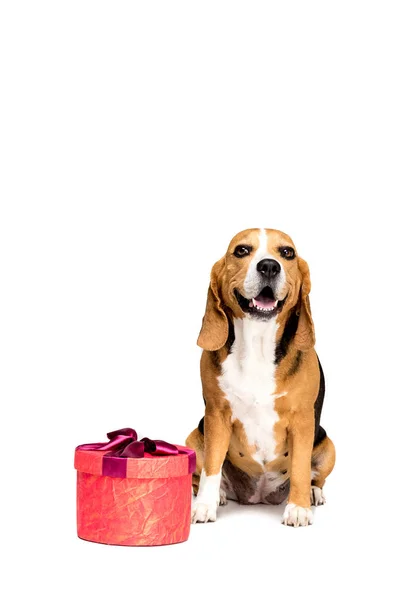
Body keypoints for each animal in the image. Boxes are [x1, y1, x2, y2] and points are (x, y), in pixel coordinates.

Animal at [187, 227, 334, 528]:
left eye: (287, 252)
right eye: (242, 250)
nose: (268, 266)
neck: (258, 342)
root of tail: (259, 496)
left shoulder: (303, 420)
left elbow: (300, 467)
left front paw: (298, 508)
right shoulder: (216, 415)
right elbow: (212, 466)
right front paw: (205, 506)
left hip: (329, 446)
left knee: (315, 476)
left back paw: (313, 494)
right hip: (193, 438)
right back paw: (220, 494)